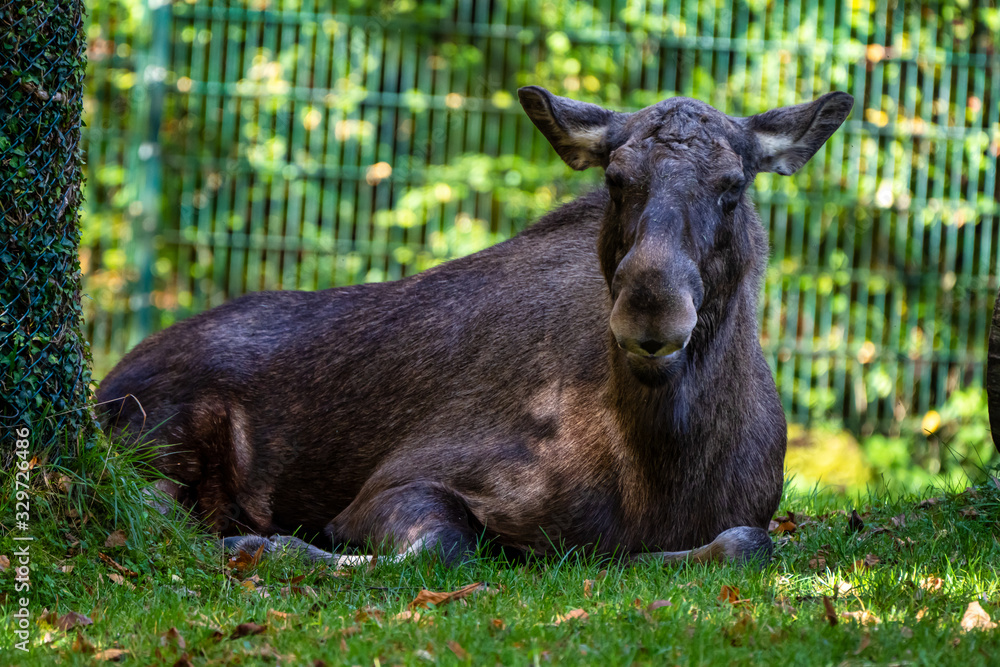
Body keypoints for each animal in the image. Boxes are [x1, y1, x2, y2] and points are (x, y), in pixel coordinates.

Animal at [97, 86, 853, 567]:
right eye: (614, 179)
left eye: (733, 185)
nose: (651, 307)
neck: (659, 466)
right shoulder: (392, 487)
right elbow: (442, 550)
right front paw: (264, 546)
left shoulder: (747, 517)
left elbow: (747, 544)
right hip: (155, 432)